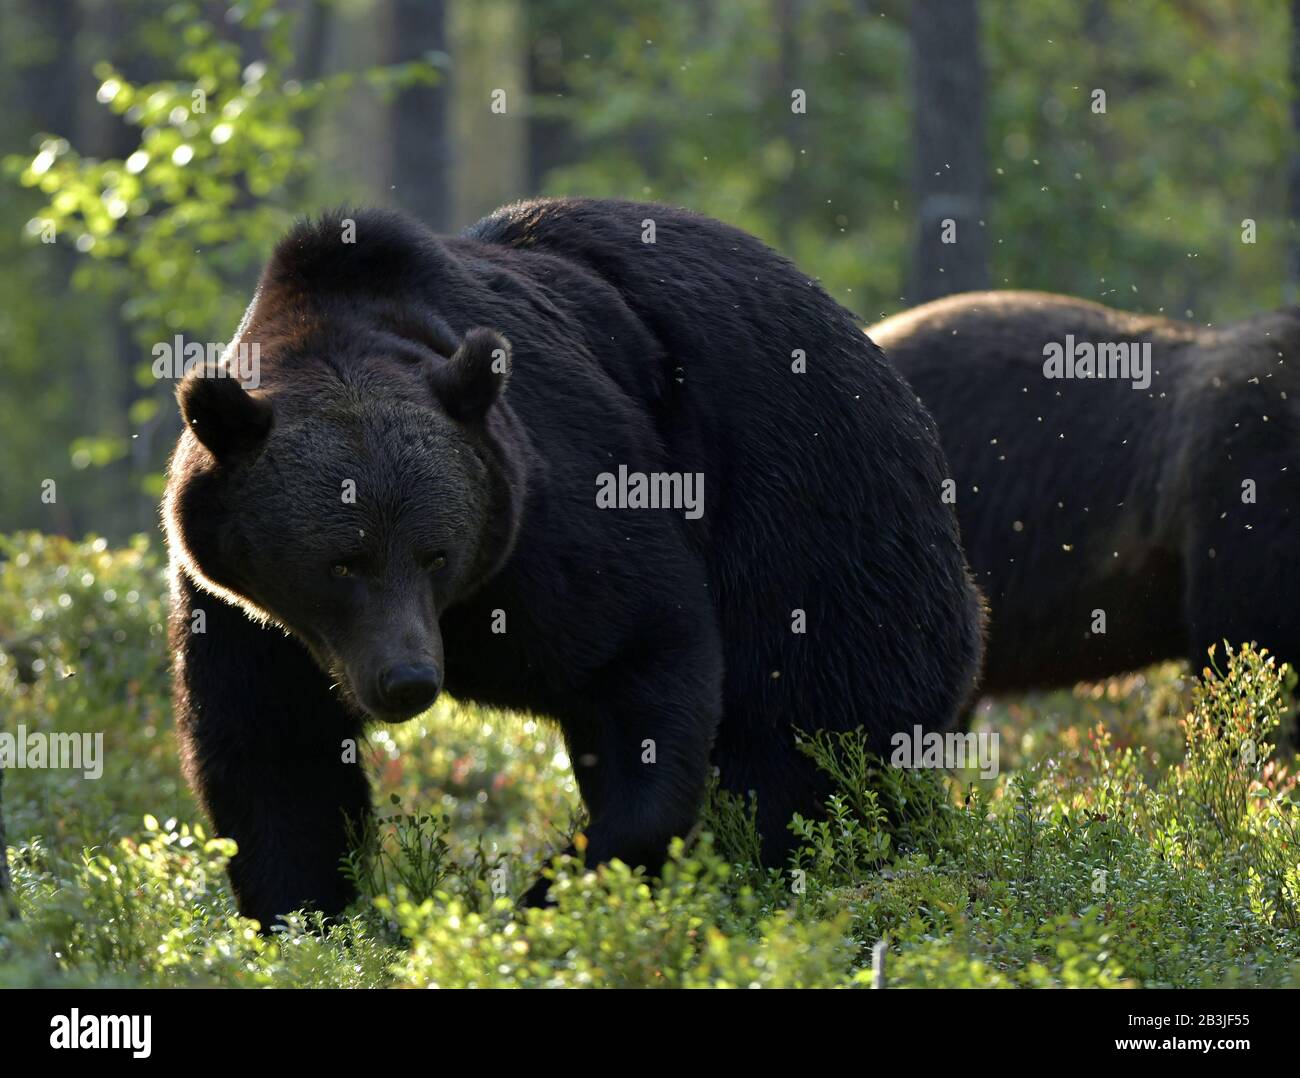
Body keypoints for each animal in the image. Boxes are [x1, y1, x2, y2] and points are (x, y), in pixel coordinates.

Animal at [164, 198, 985, 927]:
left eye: (434, 554)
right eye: (341, 563)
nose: (407, 680)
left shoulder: (553, 524)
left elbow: (642, 650)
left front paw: (560, 888)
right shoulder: (242, 608)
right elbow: (274, 754)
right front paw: (310, 921)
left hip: (812, 510)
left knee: (815, 720)